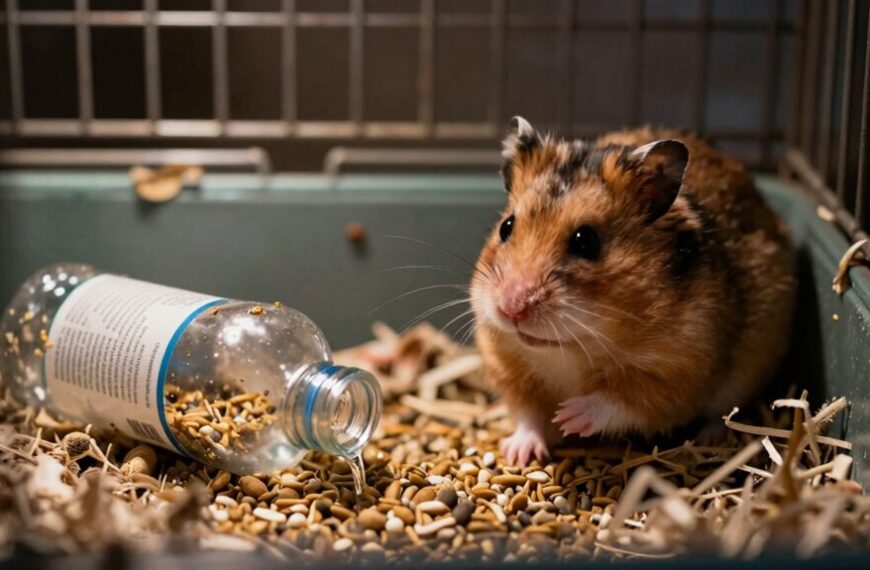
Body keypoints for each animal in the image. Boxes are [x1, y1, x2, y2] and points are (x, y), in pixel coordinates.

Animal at [471, 117, 795, 466]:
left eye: (586, 241)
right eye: (506, 227)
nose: (511, 308)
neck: (570, 348)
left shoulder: (678, 375)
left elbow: (621, 403)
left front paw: (568, 415)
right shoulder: (506, 363)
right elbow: (527, 414)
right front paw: (520, 453)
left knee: (720, 414)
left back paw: (709, 438)